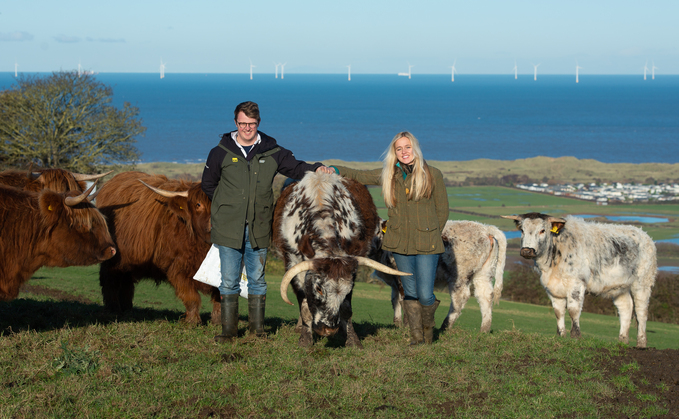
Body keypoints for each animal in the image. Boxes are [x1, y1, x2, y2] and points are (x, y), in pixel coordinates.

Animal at [94, 172, 218, 326]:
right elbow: (191, 296)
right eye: (198, 204)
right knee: (110, 280)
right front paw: (192, 321)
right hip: (112, 257)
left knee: (126, 282)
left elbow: (220, 296)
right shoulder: (177, 268)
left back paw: (127, 309)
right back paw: (113, 309)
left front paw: (218, 321)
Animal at [274, 172, 412, 350]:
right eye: (319, 289)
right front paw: (305, 339)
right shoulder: (293, 261)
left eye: (346, 291)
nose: (328, 330)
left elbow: (346, 310)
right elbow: (305, 307)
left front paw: (352, 340)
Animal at [372, 220, 504, 334]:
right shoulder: (394, 279)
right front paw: (397, 324)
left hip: (459, 275)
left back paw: (445, 326)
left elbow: (404, 298)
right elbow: (395, 300)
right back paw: (484, 330)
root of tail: (486, 229)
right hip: (483, 274)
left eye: (378, 232)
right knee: (485, 295)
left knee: (460, 298)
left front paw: (406, 325)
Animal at [502, 213, 656, 348]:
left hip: (642, 283)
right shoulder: (552, 289)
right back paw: (622, 341)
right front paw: (561, 336)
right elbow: (558, 312)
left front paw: (576, 336)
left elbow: (573, 310)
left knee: (641, 312)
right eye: (522, 230)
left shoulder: (576, 284)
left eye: (542, 230)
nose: (527, 251)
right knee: (626, 308)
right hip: (619, 287)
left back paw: (641, 343)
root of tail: (643, 234)